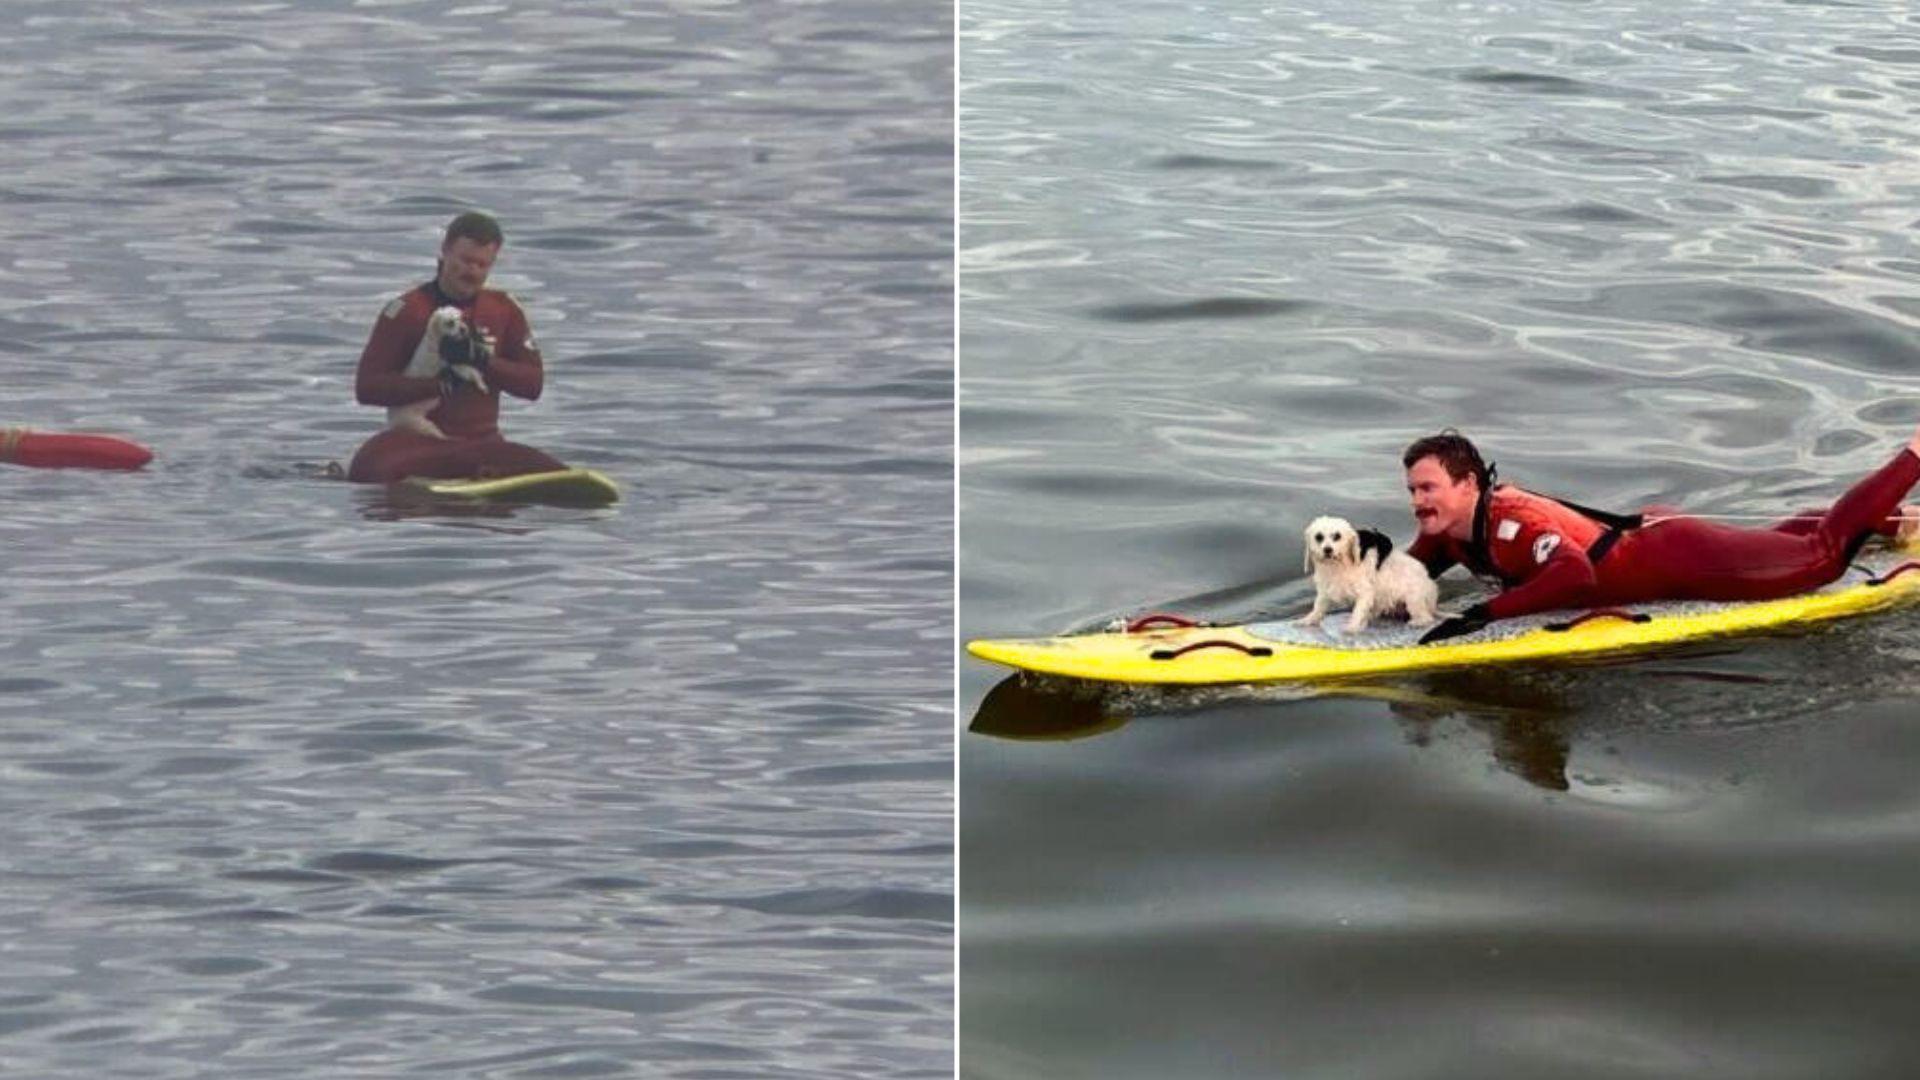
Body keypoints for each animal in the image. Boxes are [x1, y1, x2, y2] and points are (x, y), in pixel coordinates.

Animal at [389, 303, 491, 438]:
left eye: (463, 318)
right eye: (450, 323)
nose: (463, 329)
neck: (437, 340)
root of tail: (391, 418)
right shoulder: (456, 365)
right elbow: (473, 373)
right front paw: (482, 385)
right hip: (421, 425)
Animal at [1297, 511, 1436, 630]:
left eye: (1337, 536)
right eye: (1318, 537)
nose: (1327, 549)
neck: (1338, 566)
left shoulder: (1365, 593)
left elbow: (1358, 611)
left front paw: (1352, 627)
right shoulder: (1325, 590)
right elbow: (1318, 607)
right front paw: (1308, 619)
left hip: (1413, 600)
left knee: (1427, 618)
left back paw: (1418, 622)